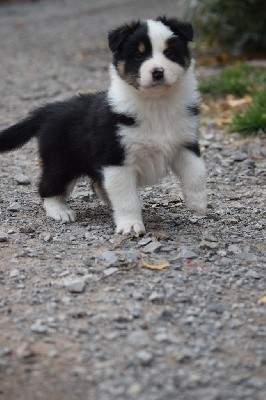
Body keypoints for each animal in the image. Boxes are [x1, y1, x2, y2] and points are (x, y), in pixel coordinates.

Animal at [0, 17, 207, 234]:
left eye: (170, 53)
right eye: (138, 55)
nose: (157, 72)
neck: (156, 104)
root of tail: (49, 110)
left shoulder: (185, 143)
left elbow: (196, 173)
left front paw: (198, 205)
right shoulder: (116, 158)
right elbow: (126, 197)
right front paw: (131, 225)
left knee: (99, 185)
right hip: (62, 162)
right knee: (48, 186)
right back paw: (59, 211)